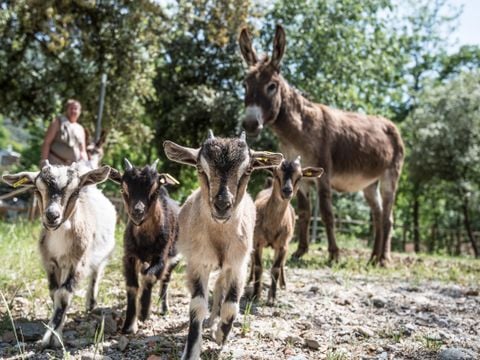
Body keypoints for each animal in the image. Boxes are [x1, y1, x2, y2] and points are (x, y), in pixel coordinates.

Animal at [2, 162, 116, 348]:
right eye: (37, 189)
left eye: (75, 192)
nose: (52, 216)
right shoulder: (50, 262)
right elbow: (54, 292)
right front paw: (56, 328)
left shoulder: (78, 262)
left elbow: (63, 294)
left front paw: (52, 336)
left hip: (104, 251)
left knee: (96, 272)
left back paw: (91, 304)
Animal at [109, 159, 181, 334]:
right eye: (123, 189)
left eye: (154, 190)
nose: (137, 212)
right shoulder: (129, 256)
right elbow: (132, 286)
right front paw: (129, 325)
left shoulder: (162, 257)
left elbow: (149, 276)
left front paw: (143, 311)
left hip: (174, 258)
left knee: (165, 280)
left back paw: (163, 308)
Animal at [163, 132, 284, 360]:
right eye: (200, 167)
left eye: (248, 169)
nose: (221, 205)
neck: (218, 238)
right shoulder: (198, 262)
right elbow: (197, 305)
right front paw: (191, 351)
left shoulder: (238, 263)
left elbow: (231, 305)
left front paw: (221, 336)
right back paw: (210, 322)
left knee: (220, 287)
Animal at [238, 23, 404, 262]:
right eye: (245, 85)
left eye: (272, 86)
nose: (250, 124)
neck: (298, 130)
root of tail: (390, 125)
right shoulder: (302, 176)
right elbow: (305, 213)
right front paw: (300, 251)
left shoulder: (324, 173)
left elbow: (326, 213)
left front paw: (334, 254)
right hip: (369, 184)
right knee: (378, 215)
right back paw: (373, 257)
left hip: (390, 176)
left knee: (388, 217)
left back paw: (384, 259)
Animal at [249, 158, 324, 304]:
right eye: (276, 173)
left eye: (300, 177)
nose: (287, 190)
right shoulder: (257, 241)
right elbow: (258, 266)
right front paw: (255, 295)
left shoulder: (283, 244)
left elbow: (276, 268)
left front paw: (272, 299)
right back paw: (249, 280)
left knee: (282, 263)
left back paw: (283, 284)